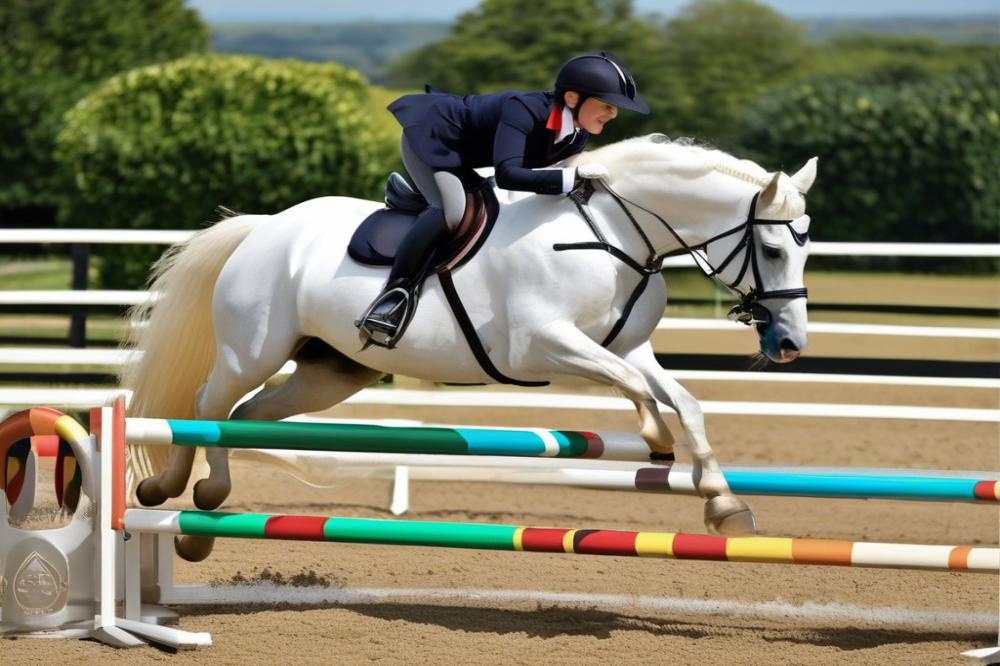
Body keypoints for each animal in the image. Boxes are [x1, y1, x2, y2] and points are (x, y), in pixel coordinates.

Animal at [121, 132, 816, 556]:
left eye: (805, 246)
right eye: (773, 248)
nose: (788, 344)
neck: (613, 232)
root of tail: (265, 227)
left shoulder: (629, 346)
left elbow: (680, 398)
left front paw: (723, 503)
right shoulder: (541, 346)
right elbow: (636, 389)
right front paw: (655, 436)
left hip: (329, 374)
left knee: (245, 416)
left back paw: (199, 507)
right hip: (253, 349)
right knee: (206, 405)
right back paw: (174, 493)